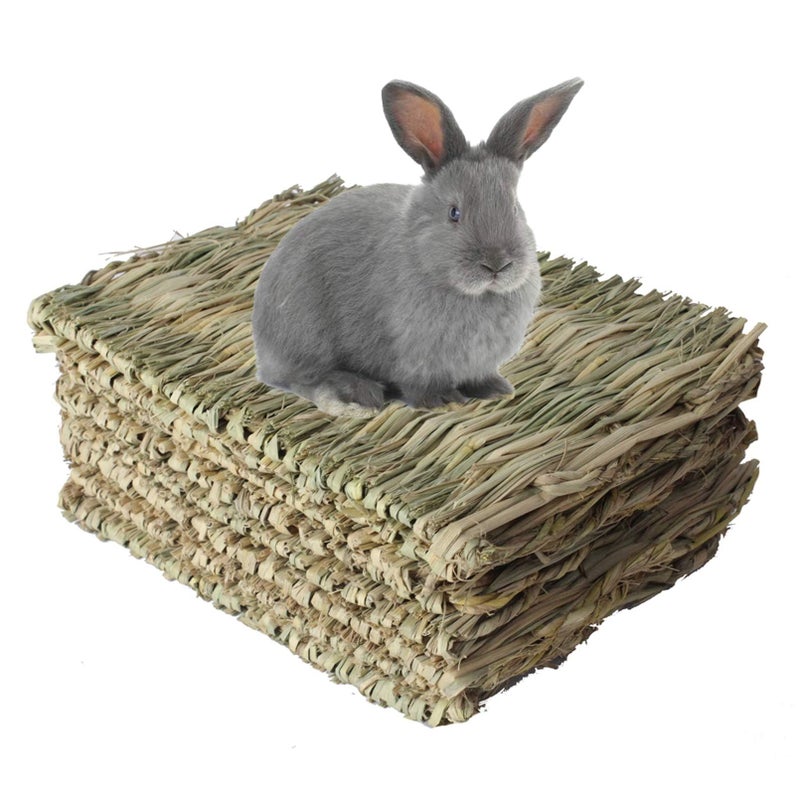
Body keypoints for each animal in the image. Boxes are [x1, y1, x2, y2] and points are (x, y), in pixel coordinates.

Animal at [252, 77, 583, 417]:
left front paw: (495, 390)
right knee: (301, 379)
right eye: (454, 213)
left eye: (515, 208)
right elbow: (420, 384)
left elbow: (480, 377)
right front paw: (443, 400)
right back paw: (354, 395)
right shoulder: (415, 357)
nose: (497, 265)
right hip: (306, 337)